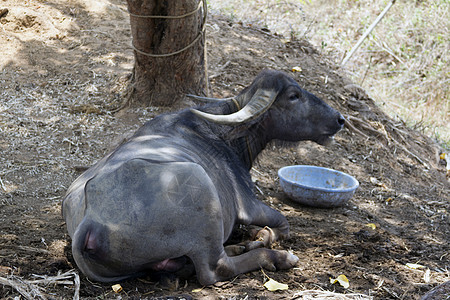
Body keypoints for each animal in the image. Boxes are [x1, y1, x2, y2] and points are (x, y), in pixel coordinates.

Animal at [62, 69, 344, 284]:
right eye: (294, 96)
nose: (340, 119)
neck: (224, 135)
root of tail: (91, 220)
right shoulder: (248, 205)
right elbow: (282, 224)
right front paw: (262, 238)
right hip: (201, 187)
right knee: (215, 269)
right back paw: (279, 258)